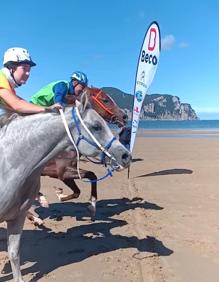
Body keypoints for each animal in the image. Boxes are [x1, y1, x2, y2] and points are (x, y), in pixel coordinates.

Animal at [29, 87, 128, 224]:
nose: (125, 116)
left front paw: (62, 195)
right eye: (105, 100)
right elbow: (89, 177)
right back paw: (36, 216)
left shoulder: (66, 172)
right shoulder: (61, 171)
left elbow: (80, 188)